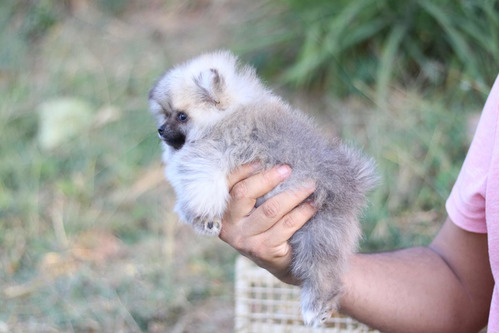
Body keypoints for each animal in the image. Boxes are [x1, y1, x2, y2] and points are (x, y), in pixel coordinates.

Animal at [149, 50, 378, 326]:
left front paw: (204, 220)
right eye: (164, 114)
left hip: (318, 231)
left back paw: (315, 307)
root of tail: (352, 183)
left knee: (321, 271)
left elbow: (201, 190)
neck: (224, 115)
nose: (160, 130)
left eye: (181, 116)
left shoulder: (208, 157)